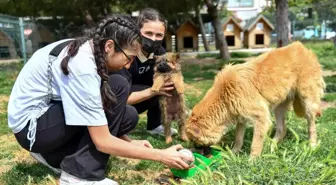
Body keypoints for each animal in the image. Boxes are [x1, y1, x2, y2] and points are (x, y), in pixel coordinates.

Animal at [184, 42, 326, 158]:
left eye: (195, 141)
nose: (195, 153)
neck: (224, 95)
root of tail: (304, 49)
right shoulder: (240, 117)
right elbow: (238, 138)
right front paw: (233, 154)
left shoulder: (260, 116)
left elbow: (255, 143)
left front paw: (252, 161)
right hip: (279, 107)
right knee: (282, 129)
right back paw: (272, 146)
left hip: (308, 102)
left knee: (311, 126)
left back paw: (312, 145)